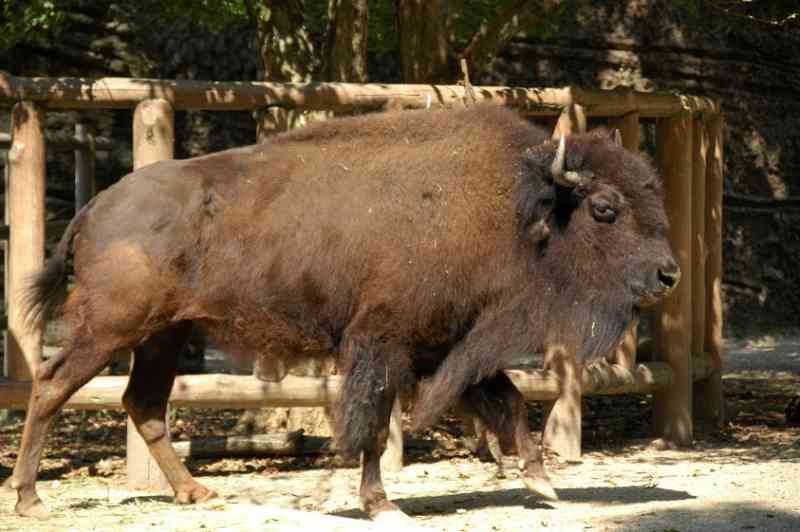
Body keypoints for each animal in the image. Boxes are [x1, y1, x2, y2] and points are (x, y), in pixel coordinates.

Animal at [9, 103, 680, 520]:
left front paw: (542, 483)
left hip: (166, 336)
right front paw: (382, 504)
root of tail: (97, 204)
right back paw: (28, 499)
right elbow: (372, 425)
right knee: (52, 385)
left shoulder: (447, 347)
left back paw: (197, 494)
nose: (668, 274)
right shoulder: (383, 345)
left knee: (143, 404)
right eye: (605, 208)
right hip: (111, 328)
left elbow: (510, 400)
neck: (517, 203)